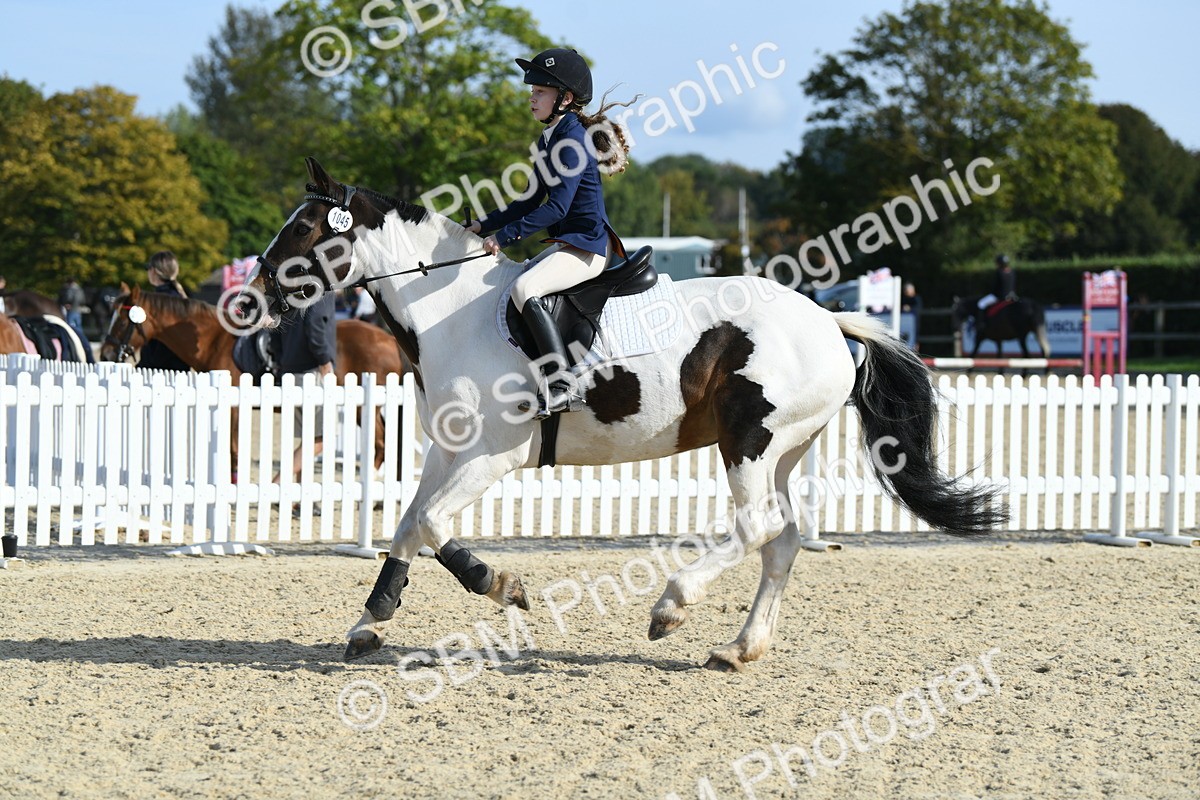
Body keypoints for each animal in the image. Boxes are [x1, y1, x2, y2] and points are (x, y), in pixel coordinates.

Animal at [98, 284, 408, 472]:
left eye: (123, 320)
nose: (106, 352)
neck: (214, 340)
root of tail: (388, 340)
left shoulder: (234, 407)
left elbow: (233, 450)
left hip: (362, 408)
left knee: (380, 445)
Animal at [241, 157, 1007, 672]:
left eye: (304, 226)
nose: (250, 299)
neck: (450, 312)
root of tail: (827, 317)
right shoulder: (449, 451)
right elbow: (407, 527)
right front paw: (369, 624)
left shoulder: (494, 455)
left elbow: (431, 525)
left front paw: (504, 587)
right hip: (784, 448)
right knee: (782, 541)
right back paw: (739, 648)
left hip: (750, 438)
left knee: (756, 527)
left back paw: (671, 606)